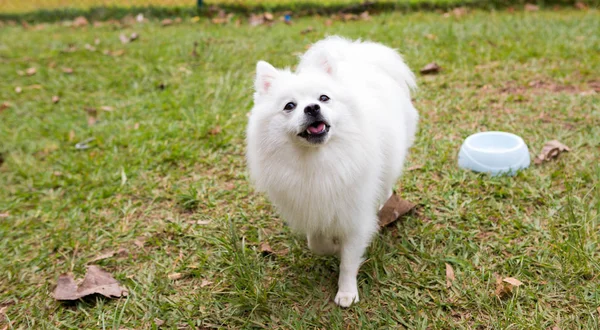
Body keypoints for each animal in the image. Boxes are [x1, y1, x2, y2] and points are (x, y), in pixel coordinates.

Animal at [244, 36, 418, 306]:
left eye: (324, 98)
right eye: (289, 106)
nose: (312, 108)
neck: (317, 159)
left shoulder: (355, 213)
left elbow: (349, 259)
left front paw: (346, 292)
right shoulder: (313, 207)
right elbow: (316, 242)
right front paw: (332, 248)